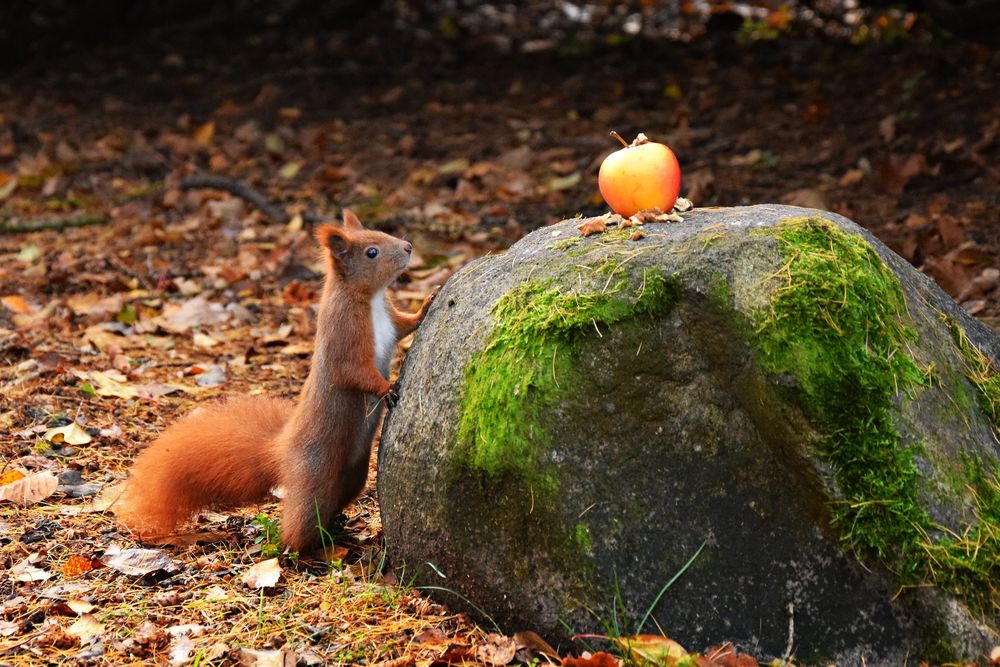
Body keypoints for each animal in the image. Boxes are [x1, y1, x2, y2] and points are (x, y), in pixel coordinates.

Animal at [115, 213, 432, 552]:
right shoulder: (344, 337)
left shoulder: (390, 321)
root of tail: (280, 451)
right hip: (315, 473)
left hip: (353, 475)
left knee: (336, 500)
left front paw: (427, 304)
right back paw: (300, 550)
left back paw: (337, 529)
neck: (370, 300)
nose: (408, 247)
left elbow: (404, 325)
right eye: (372, 252)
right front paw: (388, 388)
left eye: (382, 232)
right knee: (302, 520)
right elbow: (355, 372)